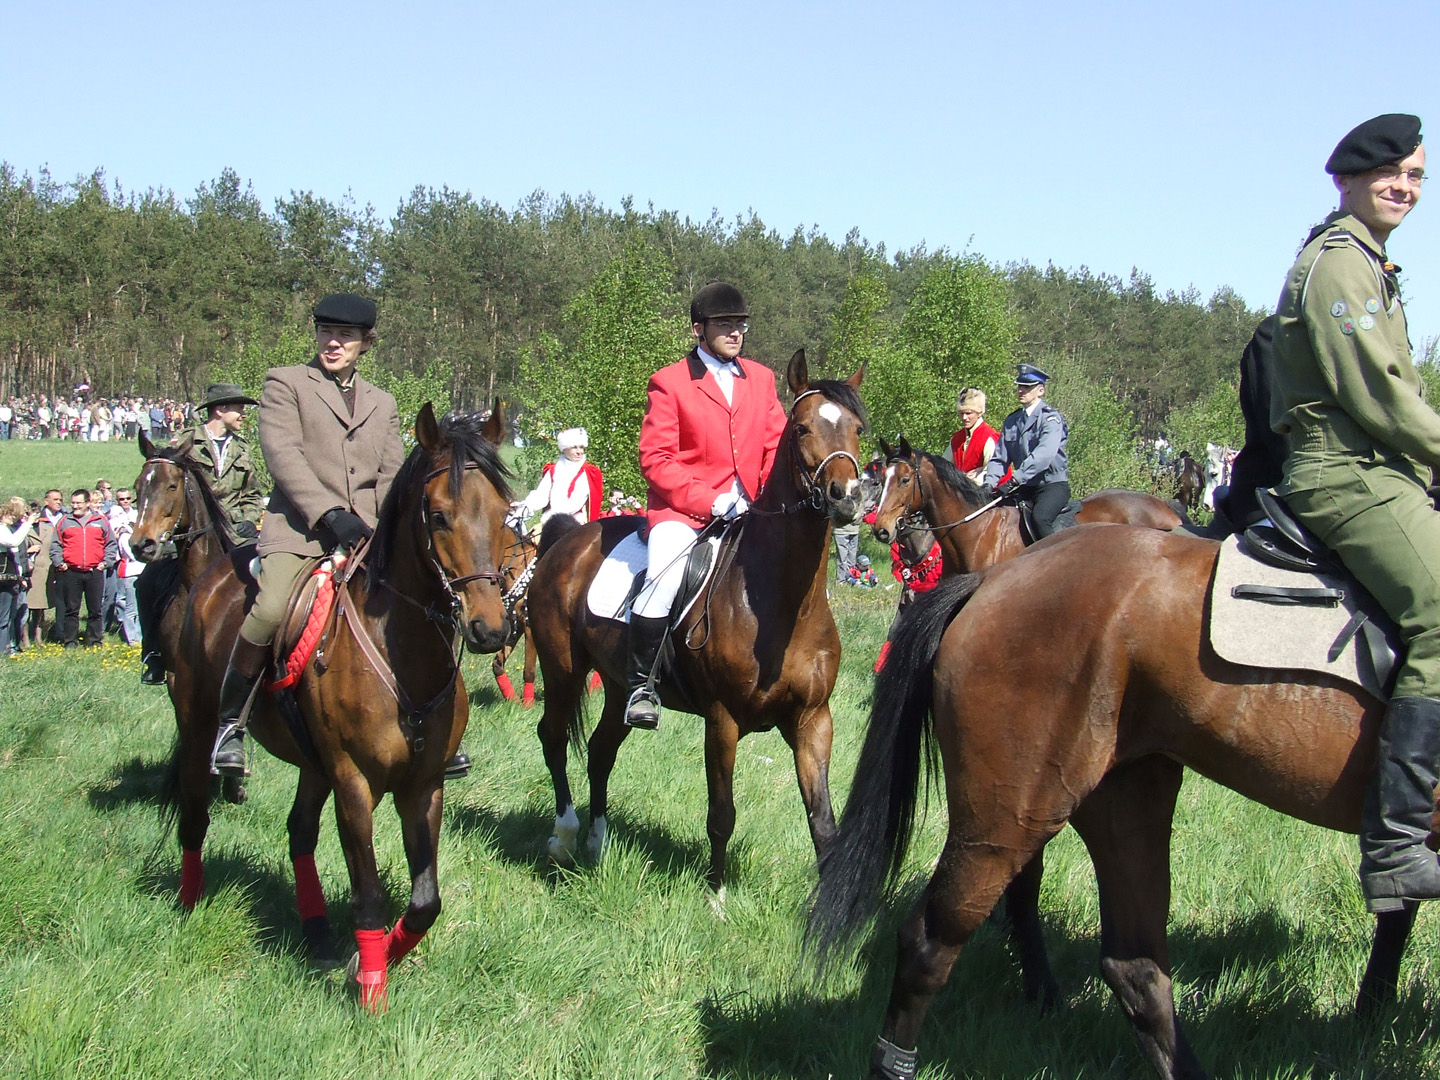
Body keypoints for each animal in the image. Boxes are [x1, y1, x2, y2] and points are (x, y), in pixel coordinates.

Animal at [163, 404, 513, 1011]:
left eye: (504, 513)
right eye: (439, 516)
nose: (489, 629)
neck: (402, 654)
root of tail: (214, 574)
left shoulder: (423, 786)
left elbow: (425, 903)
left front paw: (365, 962)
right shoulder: (354, 783)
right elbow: (369, 894)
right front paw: (371, 992)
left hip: (313, 764)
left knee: (299, 831)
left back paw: (319, 935)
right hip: (199, 727)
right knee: (195, 813)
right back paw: (189, 902)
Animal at [528, 350, 865, 893]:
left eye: (856, 427)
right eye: (801, 428)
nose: (847, 497)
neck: (781, 604)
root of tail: (567, 539)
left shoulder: (813, 721)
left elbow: (823, 822)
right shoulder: (722, 720)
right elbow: (721, 814)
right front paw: (717, 894)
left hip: (620, 686)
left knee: (601, 751)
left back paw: (597, 845)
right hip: (563, 670)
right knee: (554, 738)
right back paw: (564, 835)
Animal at [809, 523, 1426, 1080]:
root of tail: (992, 580)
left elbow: (1399, 911)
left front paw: (1373, 1012)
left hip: (1124, 805)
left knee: (1135, 968)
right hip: (1005, 820)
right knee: (929, 944)